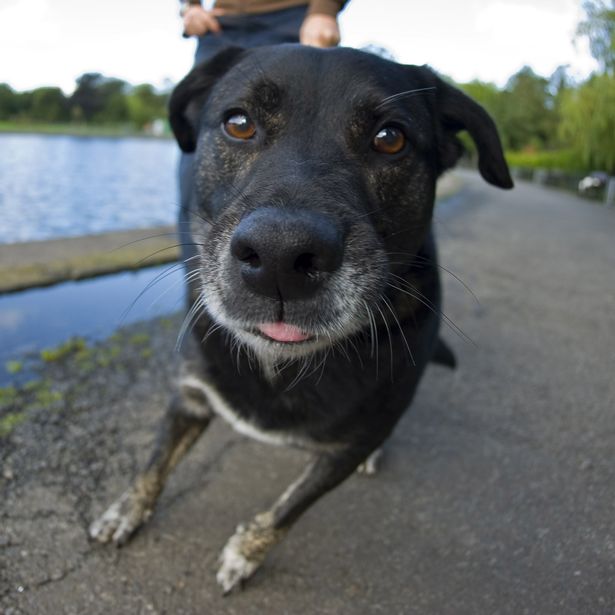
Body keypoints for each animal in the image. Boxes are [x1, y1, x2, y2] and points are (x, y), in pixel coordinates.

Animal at [88, 45, 510, 596]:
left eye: (390, 138)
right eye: (238, 123)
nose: (279, 256)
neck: (278, 364)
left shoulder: (343, 452)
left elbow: (287, 511)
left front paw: (246, 553)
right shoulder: (190, 395)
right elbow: (154, 464)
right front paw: (127, 511)